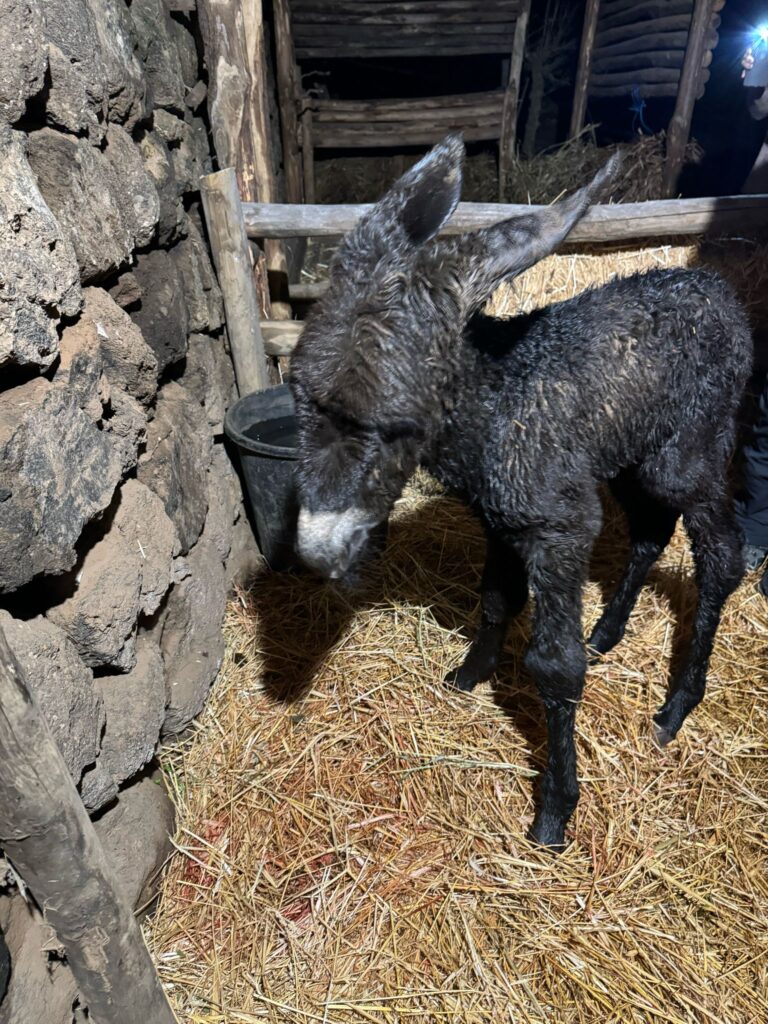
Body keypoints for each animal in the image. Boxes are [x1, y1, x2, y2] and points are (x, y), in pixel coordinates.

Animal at [288, 134, 753, 847]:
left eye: (395, 425)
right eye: (299, 397)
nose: (316, 550)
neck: (492, 406)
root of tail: (715, 287)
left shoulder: (558, 528)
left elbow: (554, 664)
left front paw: (557, 808)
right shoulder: (502, 519)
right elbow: (495, 598)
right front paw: (472, 671)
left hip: (687, 452)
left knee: (722, 555)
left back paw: (676, 706)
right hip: (628, 454)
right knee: (651, 532)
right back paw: (609, 631)